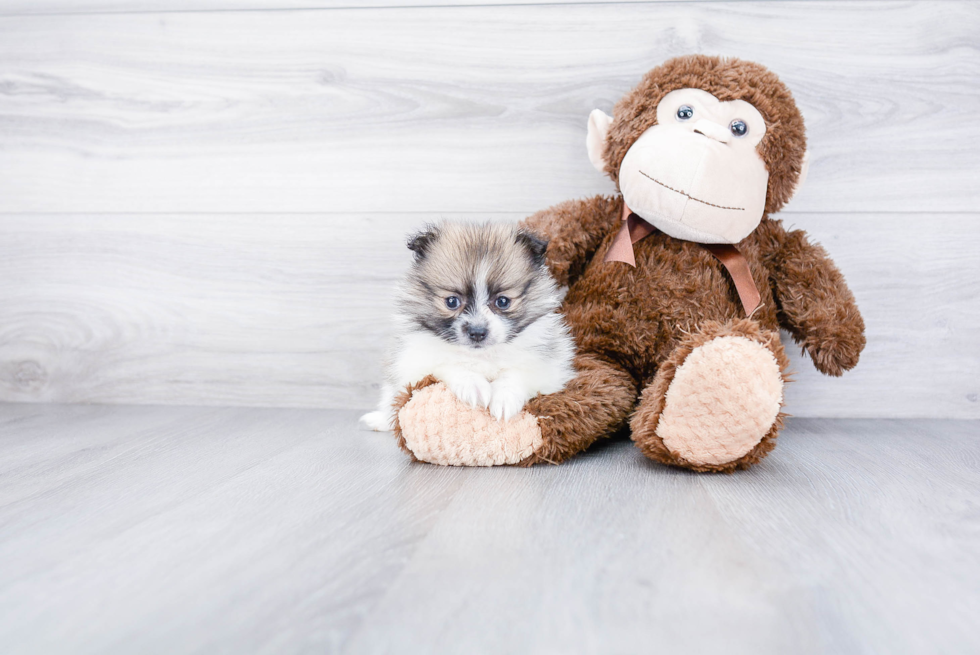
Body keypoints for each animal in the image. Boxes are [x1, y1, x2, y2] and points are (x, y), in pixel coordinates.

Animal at [360, 223, 576, 434]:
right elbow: (447, 363)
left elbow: (518, 373)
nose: (477, 332)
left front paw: (504, 398)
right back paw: (380, 420)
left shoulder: (550, 369)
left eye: (503, 301)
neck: (481, 355)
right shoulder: (412, 362)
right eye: (452, 301)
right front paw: (473, 384)